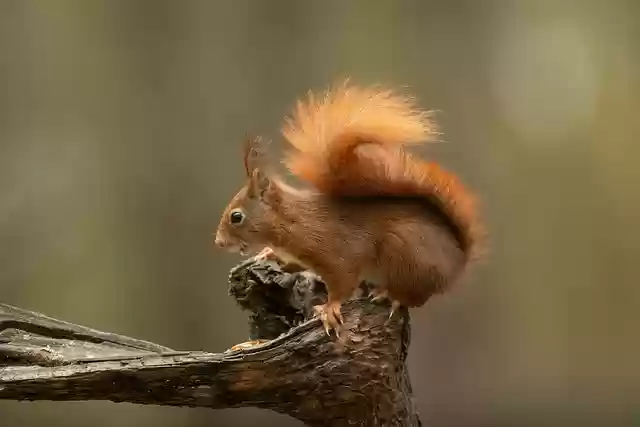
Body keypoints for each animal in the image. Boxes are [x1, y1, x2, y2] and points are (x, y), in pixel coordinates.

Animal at [214, 81, 485, 337]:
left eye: (236, 216)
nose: (218, 242)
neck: (291, 220)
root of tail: (457, 262)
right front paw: (267, 253)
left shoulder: (338, 255)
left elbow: (342, 283)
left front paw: (329, 308)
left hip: (405, 254)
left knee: (414, 297)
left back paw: (390, 295)